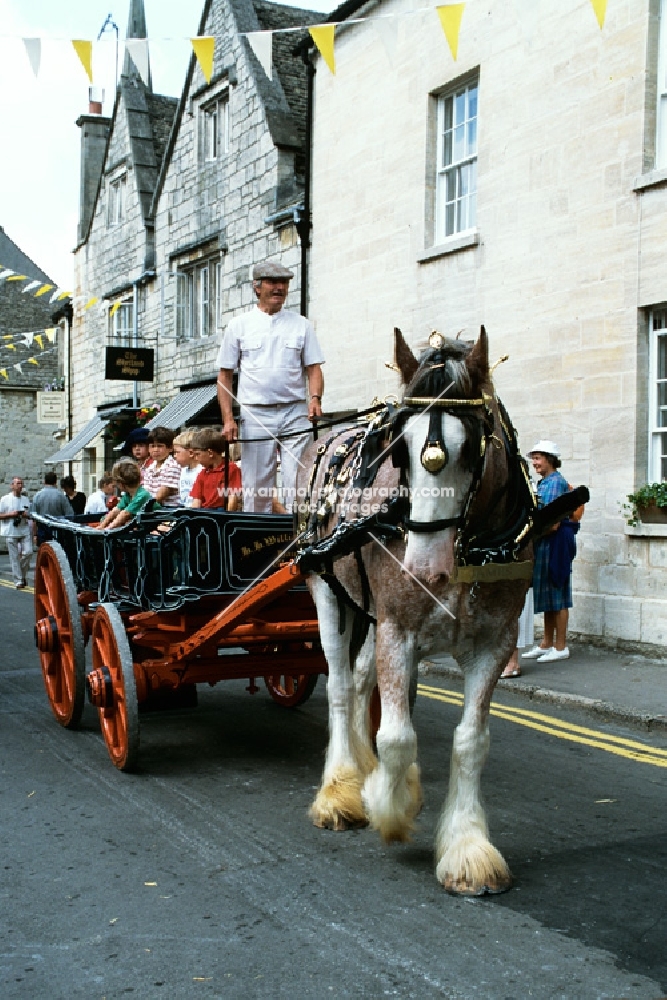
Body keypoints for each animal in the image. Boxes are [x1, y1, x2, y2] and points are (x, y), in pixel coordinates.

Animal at [298, 324, 536, 896]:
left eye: (473, 446)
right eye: (399, 452)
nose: (425, 570)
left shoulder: (495, 642)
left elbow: (470, 740)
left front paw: (467, 848)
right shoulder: (398, 630)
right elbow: (397, 735)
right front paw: (386, 802)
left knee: (362, 679)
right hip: (326, 590)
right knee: (341, 685)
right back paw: (341, 789)